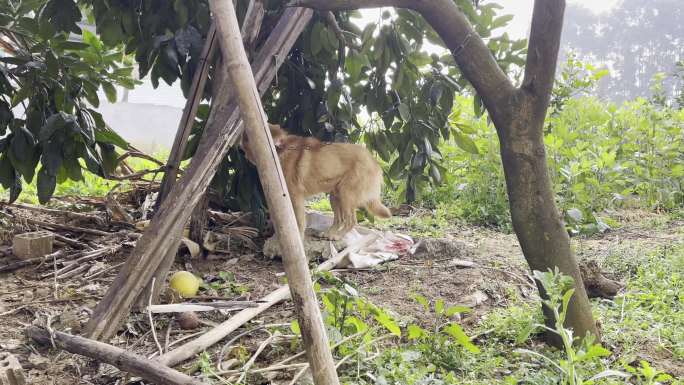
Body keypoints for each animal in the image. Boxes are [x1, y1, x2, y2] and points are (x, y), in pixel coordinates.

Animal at [240, 123, 390, 238]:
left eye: (245, 146)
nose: (243, 154)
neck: (278, 150)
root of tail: (375, 162)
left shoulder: (296, 197)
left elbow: (299, 222)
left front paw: (299, 239)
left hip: (346, 195)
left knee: (351, 221)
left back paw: (337, 236)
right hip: (335, 196)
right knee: (339, 219)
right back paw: (329, 234)